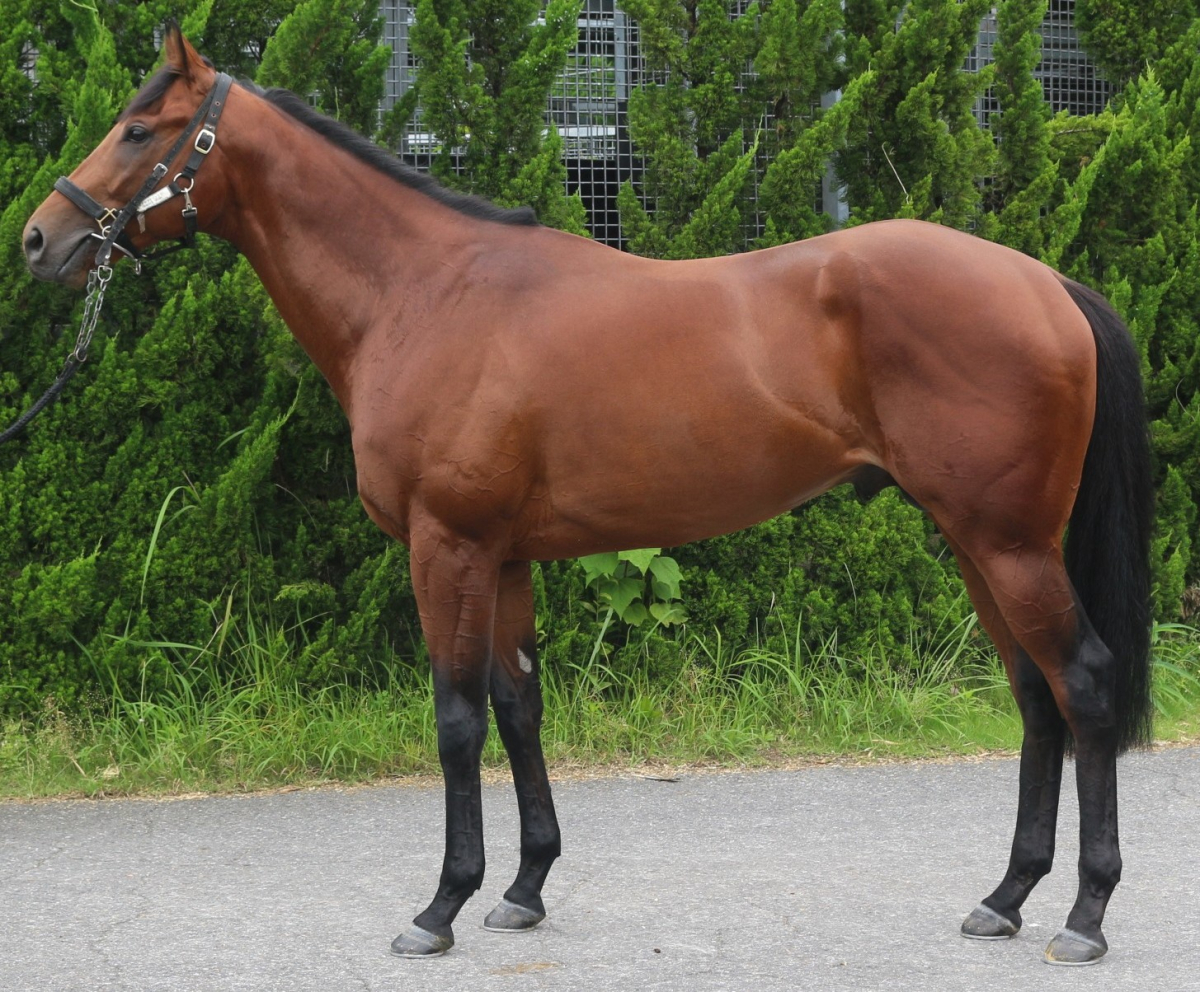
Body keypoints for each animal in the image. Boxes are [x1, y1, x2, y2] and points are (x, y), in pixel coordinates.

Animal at [22, 27, 1152, 966]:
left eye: (140, 128)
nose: (40, 240)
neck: (425, 295)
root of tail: (1045, 283)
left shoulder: (447, 545)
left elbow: (456, 718)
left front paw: (440, 905)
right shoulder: (507, 554)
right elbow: (520, 705)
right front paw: (522, 889)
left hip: (1008, 542)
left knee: (1083, 684)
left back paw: (1086, 915)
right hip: (976, 540)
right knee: (1035, 696)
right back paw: (1005, 897)